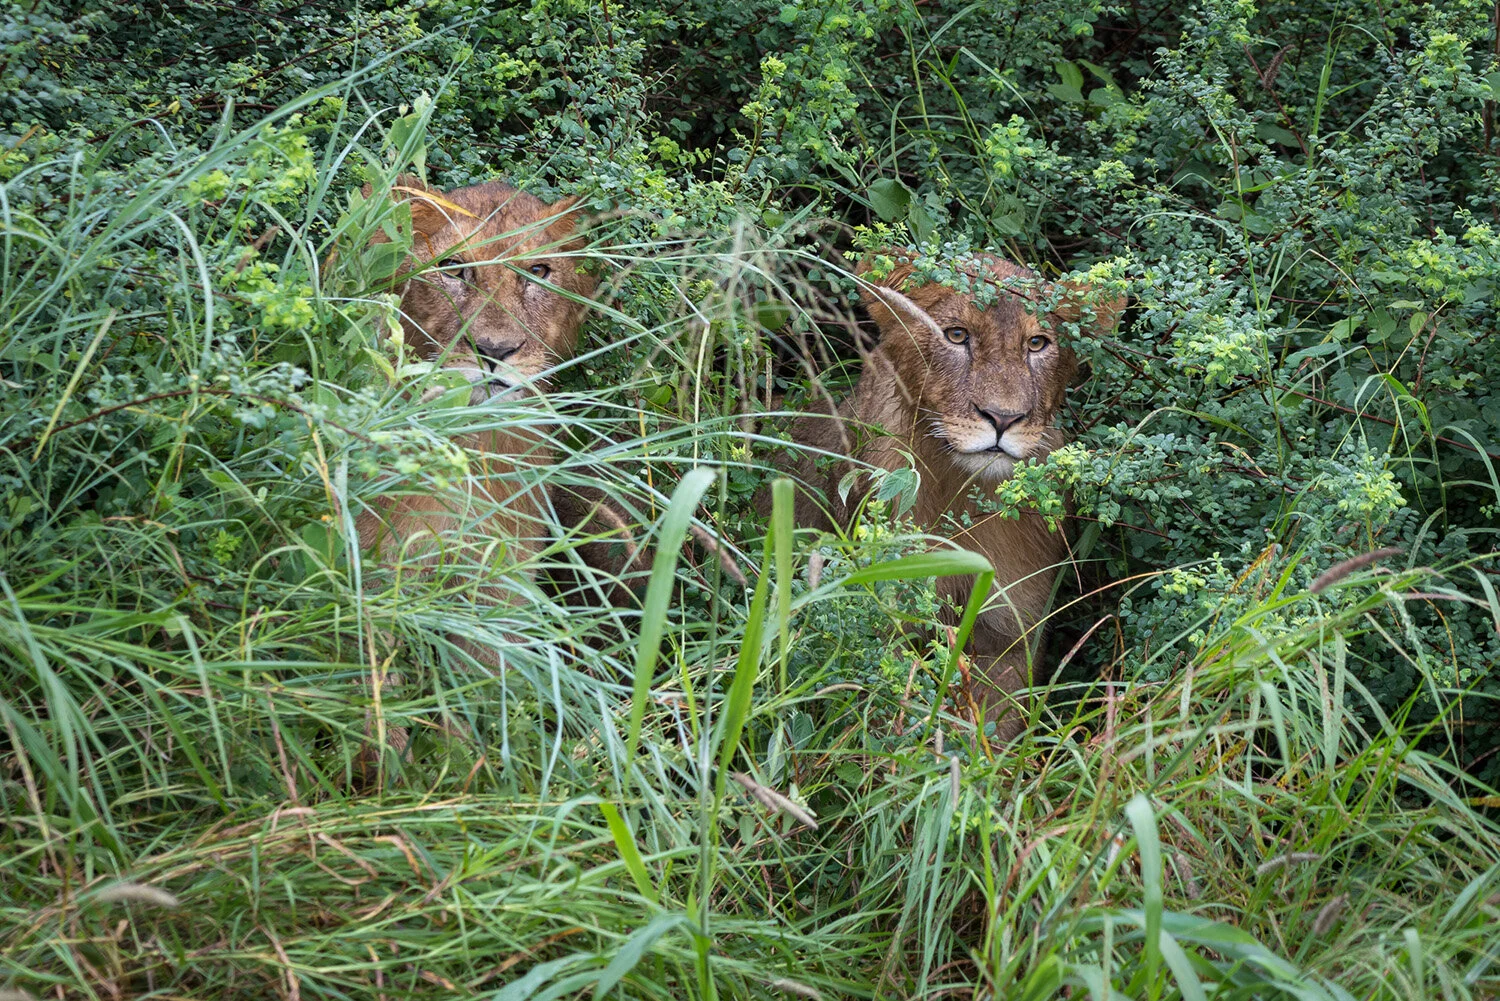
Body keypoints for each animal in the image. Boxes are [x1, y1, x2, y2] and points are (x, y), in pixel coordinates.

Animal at [786, 253, 1123, 742]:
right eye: (957, 335)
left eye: (1037, 343)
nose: (1002, 418)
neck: (963, 497)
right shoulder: (892, 627)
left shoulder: (1009, 636)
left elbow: (993, 733)